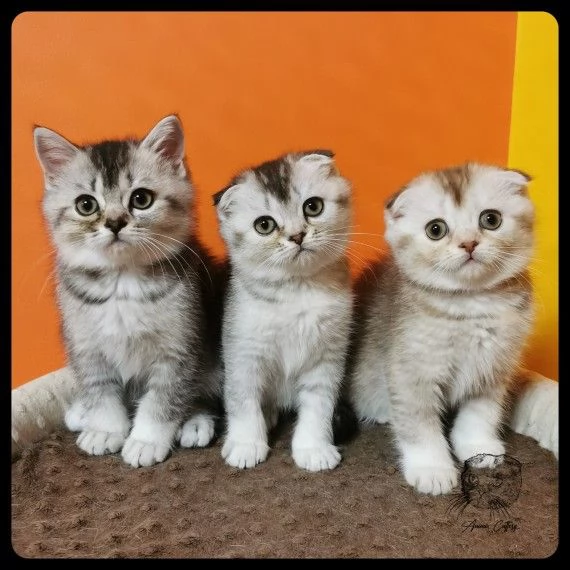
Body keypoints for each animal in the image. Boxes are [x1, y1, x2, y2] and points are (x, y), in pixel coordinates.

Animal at [32, 114, 224, 466]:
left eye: (141, 199)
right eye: (85, 205)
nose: (115, 223)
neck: (122, 285)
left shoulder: (179, 345)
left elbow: (165, 397)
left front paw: (146, 440)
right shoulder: (86, 347)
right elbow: (101, 391)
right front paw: (105, 430)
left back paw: (195, 422)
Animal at [213, 150, 352, 470]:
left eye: (313, 206)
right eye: (264, 225)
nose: (298, 235)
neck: (297, 291)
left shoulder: (327, 357)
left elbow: (318, 405)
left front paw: (313, 448)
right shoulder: (242, 349)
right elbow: (243, 400)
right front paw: (246, 445)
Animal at [348, 161, 536, 492]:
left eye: (491, 219)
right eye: (435, 229)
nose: (469, 243)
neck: (471, 304)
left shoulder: (491, 368)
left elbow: (481, 414)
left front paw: (478, 448)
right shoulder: (412, 371)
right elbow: (420, 424)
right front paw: (431, 468)